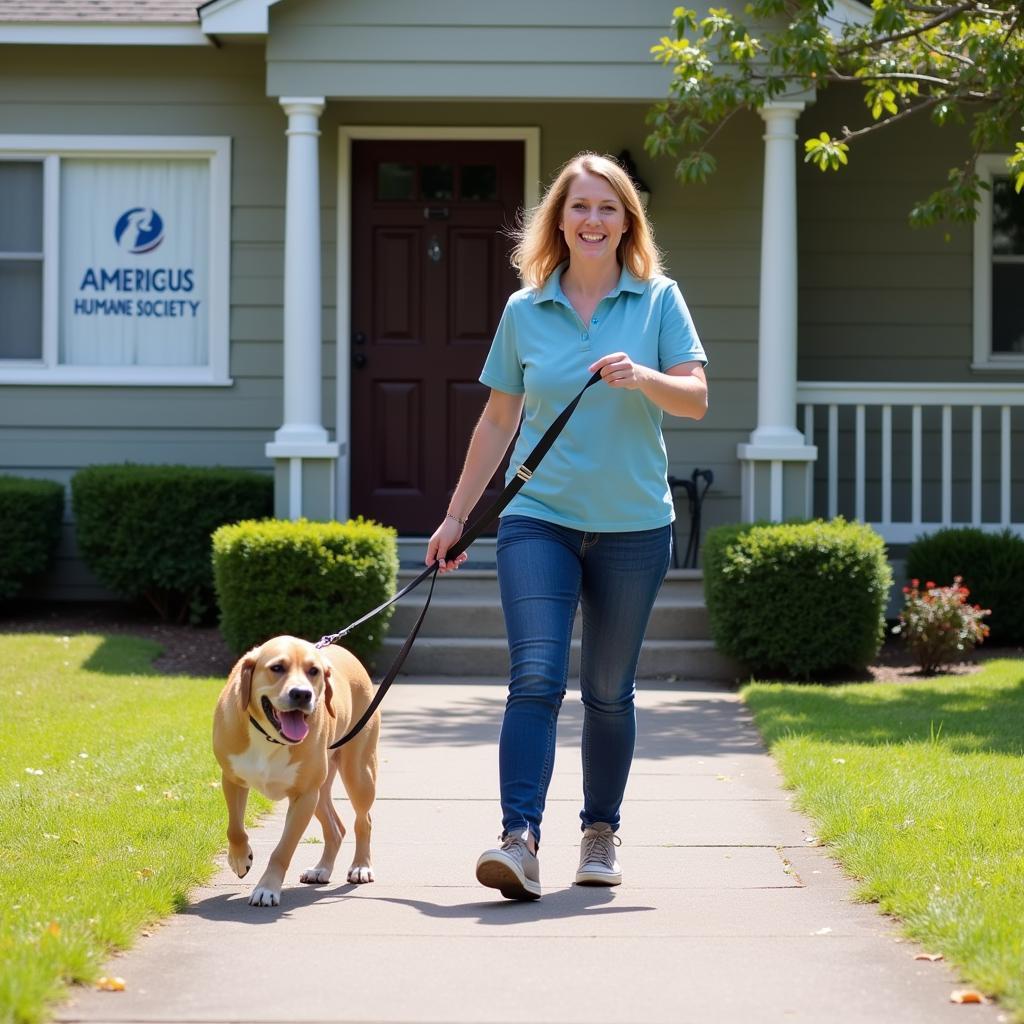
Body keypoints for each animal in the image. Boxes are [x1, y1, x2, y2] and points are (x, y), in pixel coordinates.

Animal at [212, 634, 380, 909]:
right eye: (277, 667)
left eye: (314, 671)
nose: (302, 694)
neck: (269, 736)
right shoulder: (232, 779)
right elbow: (235, 828)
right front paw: (239, 858)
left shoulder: (303, 796)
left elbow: (283, 850)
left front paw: (267, 888)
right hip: (320, 792)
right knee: (336, 828)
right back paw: (322, 869)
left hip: (358, 773)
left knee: (363, 821)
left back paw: (360, 866)